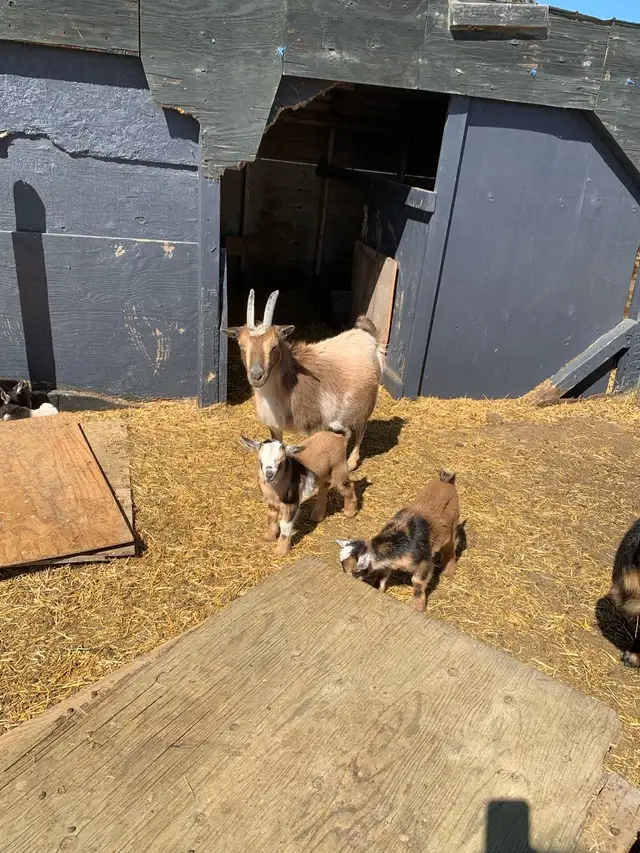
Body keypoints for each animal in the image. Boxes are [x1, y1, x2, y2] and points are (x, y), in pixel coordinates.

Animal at [223, 290, 385, 471]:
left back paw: (351, 462)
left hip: (367, 403)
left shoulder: (317, 424)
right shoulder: (274, 426)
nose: (256, 375)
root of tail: (369, 338)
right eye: (241, 345)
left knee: (361, 429)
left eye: (274, 346)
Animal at [336, 469, 461, 611]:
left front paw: (419, 608)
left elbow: (417, 582)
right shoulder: (387, 564)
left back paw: (448, 571)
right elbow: (382, 577)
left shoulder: (425, 561)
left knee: (451, 545)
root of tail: (446, 482)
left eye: (355, 571)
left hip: (453, 525)